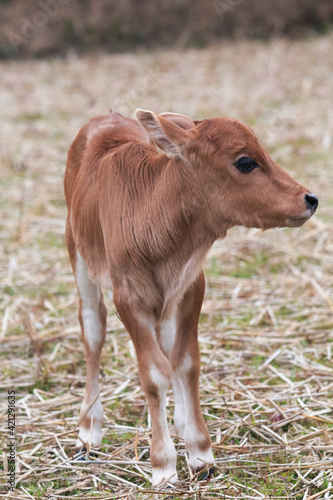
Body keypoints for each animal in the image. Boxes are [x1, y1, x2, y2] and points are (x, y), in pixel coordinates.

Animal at [64, 108, 316, 484]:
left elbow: (186, 364)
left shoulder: (193, 287)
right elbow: (154, 374)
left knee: (169, 348)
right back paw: (89, 430)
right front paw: (163, 464)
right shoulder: (128, 299)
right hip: (78, 253)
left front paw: (199, 451)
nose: (310, 199)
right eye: (245, 162)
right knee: (93, 331)